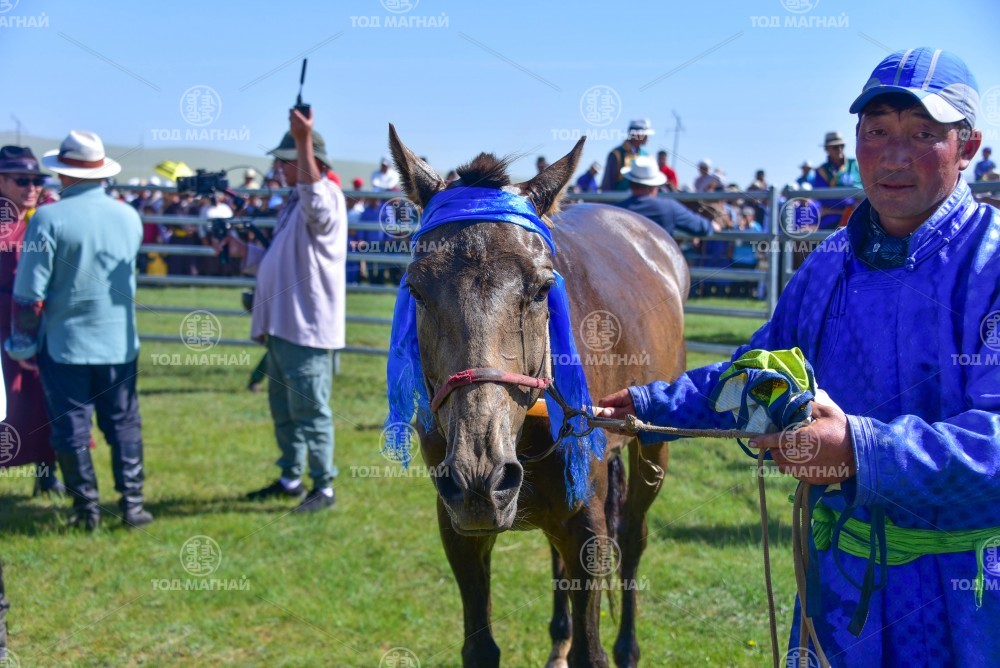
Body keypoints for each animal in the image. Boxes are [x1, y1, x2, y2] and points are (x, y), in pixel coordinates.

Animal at [387, 125, 689, 668]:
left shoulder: (587, 525)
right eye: (417, 290)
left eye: (541, 288)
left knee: (634, 538)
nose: (479, 475)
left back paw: (628, 645)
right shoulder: (457, 526)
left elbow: (595, 648)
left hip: (651, 450)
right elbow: (481, 647)